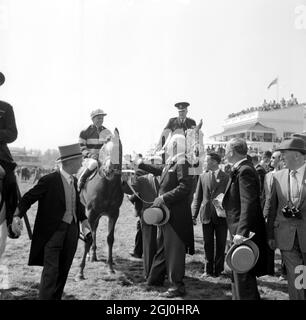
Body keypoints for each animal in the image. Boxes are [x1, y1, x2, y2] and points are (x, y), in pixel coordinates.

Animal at [76, 129, 123, 278]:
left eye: (118, 150)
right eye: (103, 150)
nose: (109, 169)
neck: (107, 187)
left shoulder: (114, 214)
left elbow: (110, 238)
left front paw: (110, 267)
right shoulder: (90, 213)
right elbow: (89, 238)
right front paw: (80, 272)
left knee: (95, 230)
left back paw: (94, 254)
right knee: (89, 232)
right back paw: (90, 255)